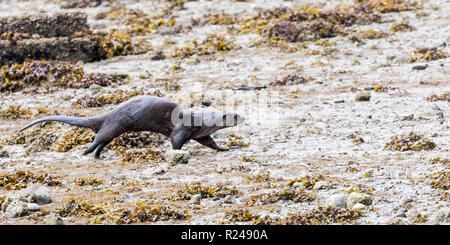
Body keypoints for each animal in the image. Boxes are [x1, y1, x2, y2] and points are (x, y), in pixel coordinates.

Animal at [17, 95, 244, 159]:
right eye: (235, 116)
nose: (243, 117)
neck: (199, 122)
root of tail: (108, 114)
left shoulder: (201, 135)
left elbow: (210, 142)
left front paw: (224, 148)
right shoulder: (181, 131)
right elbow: (176, 142)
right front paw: (178, 154)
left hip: (112, 130)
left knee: (102, 141)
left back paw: (98, 156)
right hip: (113, 125)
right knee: (97, 139)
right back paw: (86, 152)